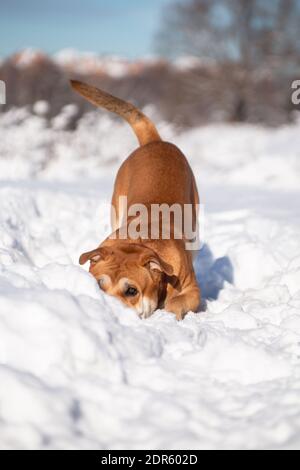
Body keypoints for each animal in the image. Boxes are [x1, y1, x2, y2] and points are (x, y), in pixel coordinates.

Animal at [71, 81, 200, 320]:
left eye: (131, 291)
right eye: (98, 285)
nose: (108, 308)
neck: (140, 242)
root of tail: (156, 142)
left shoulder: (192, 290)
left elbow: (175, 303)